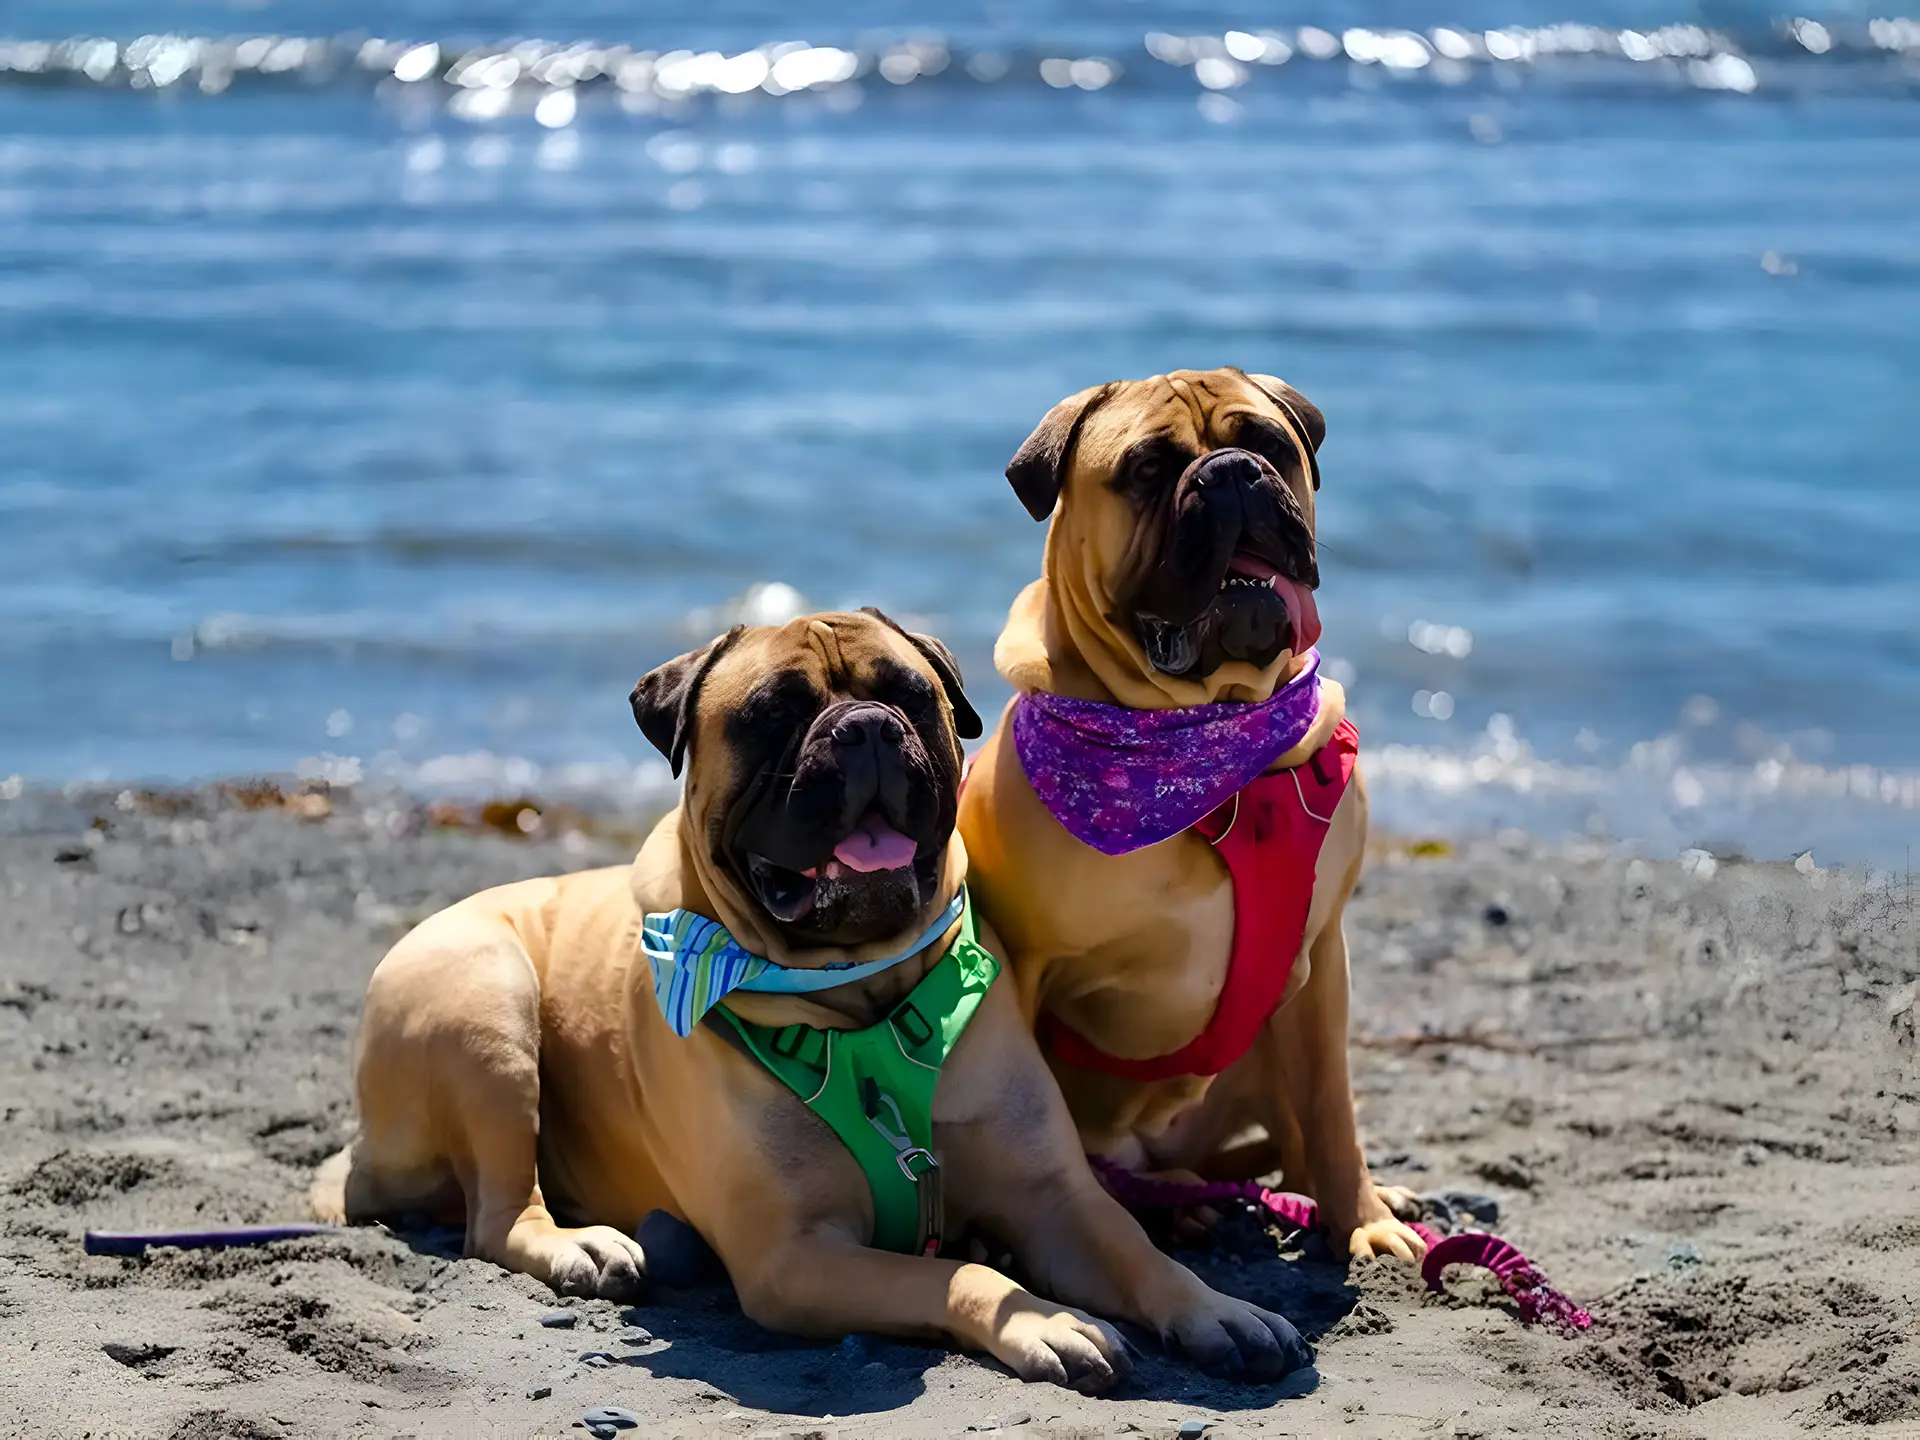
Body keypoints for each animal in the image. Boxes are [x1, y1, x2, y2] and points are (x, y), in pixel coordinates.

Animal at [314, 610, 1313, 1390]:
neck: (862, 998)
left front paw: (1216, 1309)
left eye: (912, 696)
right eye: (772, 713)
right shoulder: (795, 1257)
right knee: (496, 1215)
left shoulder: (1055, 1198)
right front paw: (1039, 1318)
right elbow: (951, 1280)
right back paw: (580, 1245)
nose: (867, 727)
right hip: (488, 1005)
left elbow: (1137, 1249)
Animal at [956, 368, 1428, 1259]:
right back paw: (1170, 1202)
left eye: (1269, 442)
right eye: (1147, 468)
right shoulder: (1022, 967)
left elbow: (1332, 1106)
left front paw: (1363, 1219)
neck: (1211, 745)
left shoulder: (1322, 961)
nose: (1233, 473)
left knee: (1297, 1133)